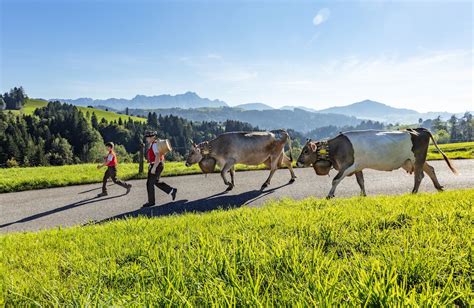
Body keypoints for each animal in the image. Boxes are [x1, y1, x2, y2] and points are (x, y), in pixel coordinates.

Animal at [298, 129, 458, 199]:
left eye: (305, 151)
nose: (298, 162)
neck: (335, 147)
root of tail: (418, 129)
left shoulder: (347, 166)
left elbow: (335, 180)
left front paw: (330, 195)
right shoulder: (358, 167)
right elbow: (361, 181)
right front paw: (363, 195)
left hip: (417, 159)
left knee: (419, 176)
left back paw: (413, 192)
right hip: (418, 160)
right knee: (430, 169)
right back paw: (438, 187)